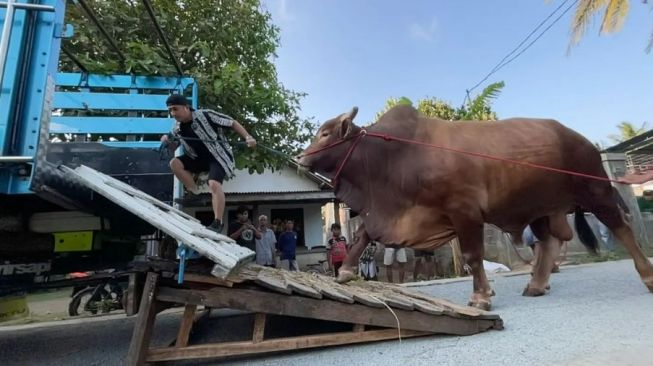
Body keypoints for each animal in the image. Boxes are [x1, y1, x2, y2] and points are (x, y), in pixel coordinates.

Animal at [298, 104, 652, 310]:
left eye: (326, 133)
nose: (301, 157)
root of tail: (581, 139)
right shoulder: (398, 215)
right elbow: (363, 235)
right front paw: (345, 272)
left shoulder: (464, 212)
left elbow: (472, 255)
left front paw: (481, 296)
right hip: (539, 209)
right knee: (548, 243)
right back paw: (536, 285)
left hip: (596, 191)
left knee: (622, 228)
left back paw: (647, 275)